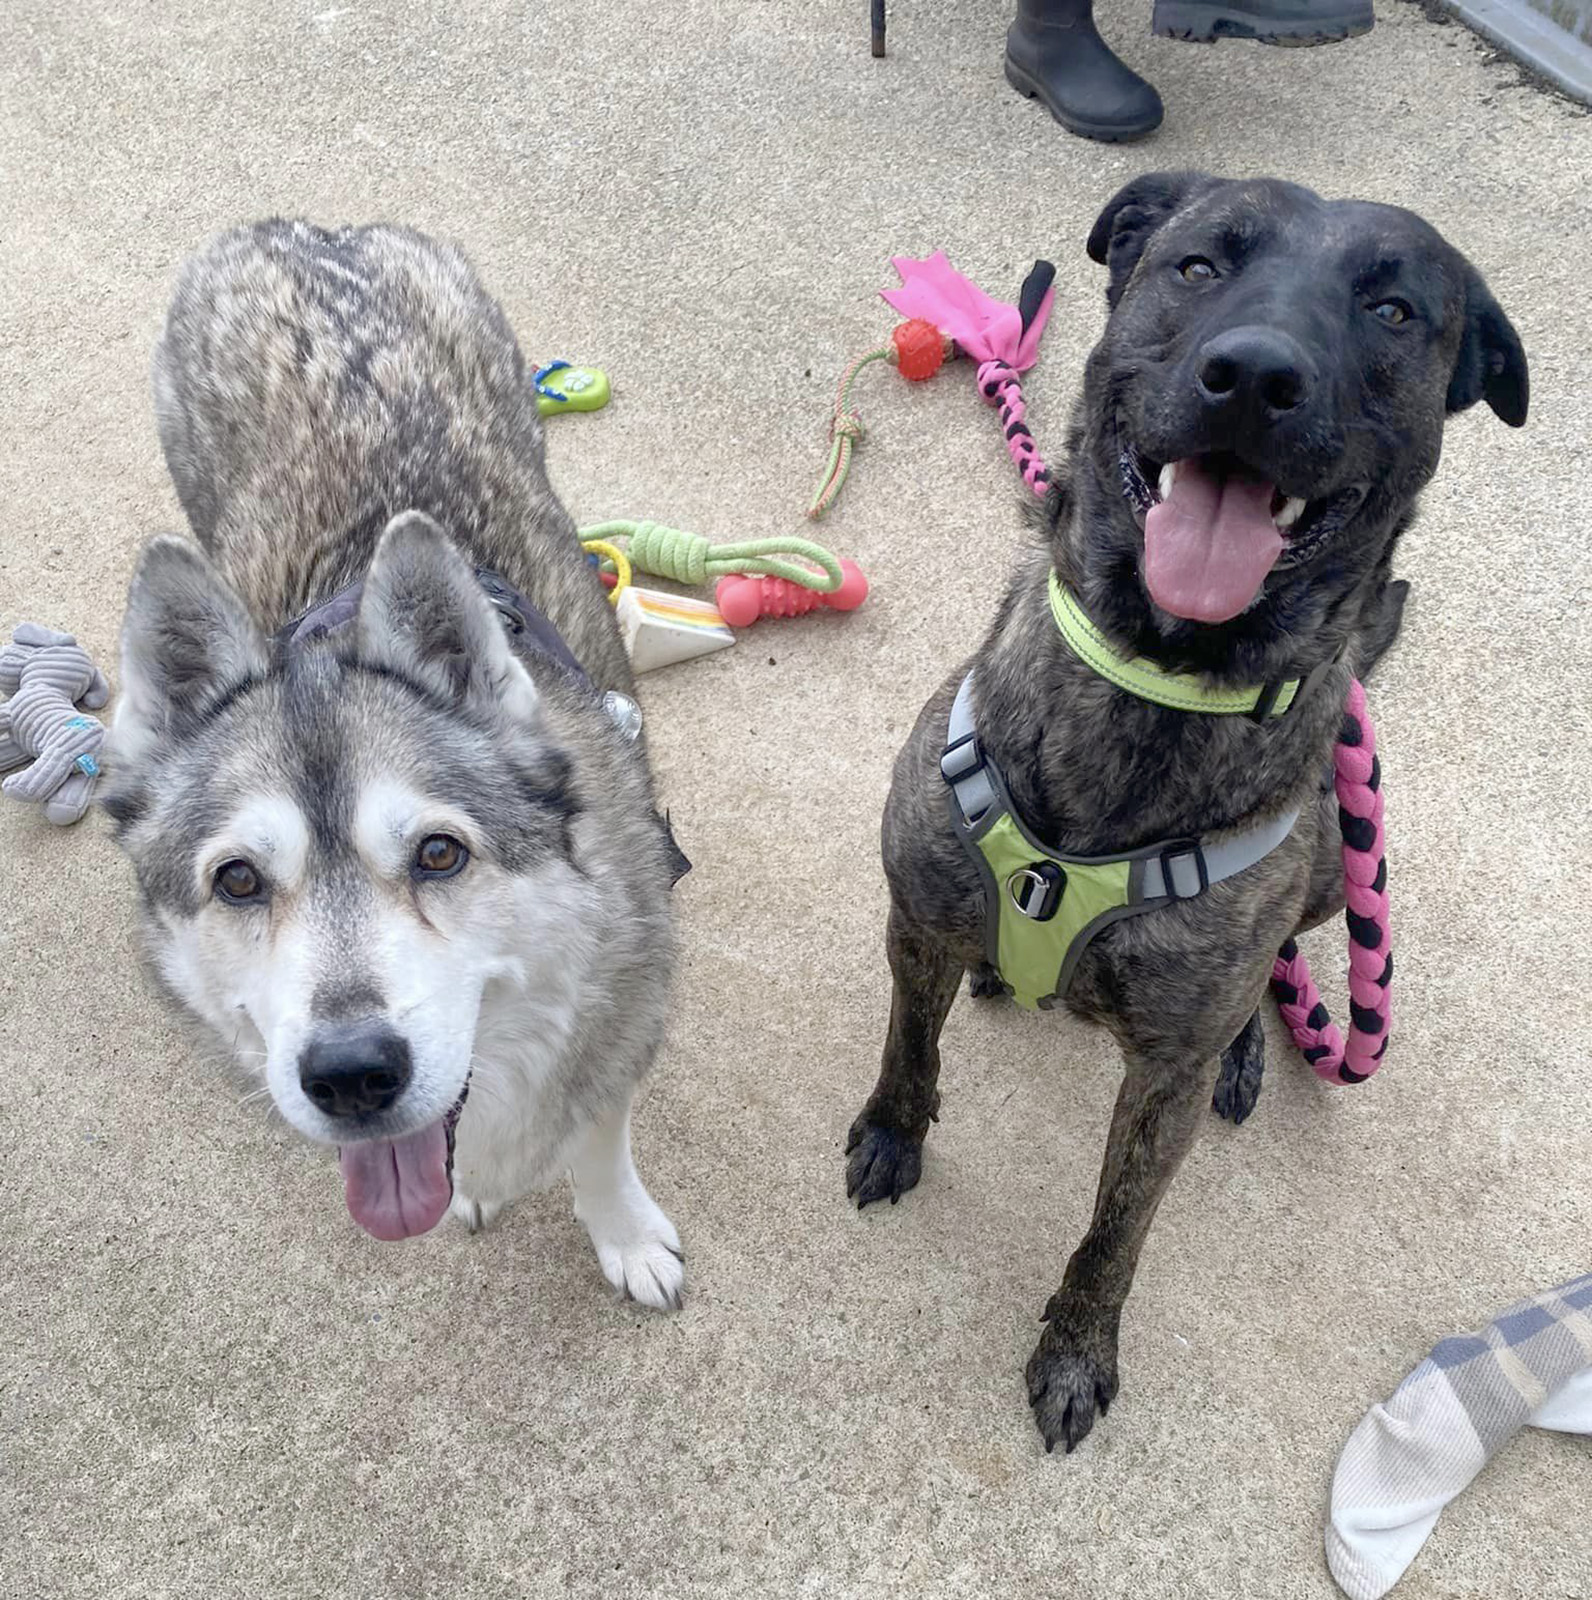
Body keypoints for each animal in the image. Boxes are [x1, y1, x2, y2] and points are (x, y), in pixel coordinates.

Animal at [104, 219, 691, 1305]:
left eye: (439, 854)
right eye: (238, 880)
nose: (351, 1074)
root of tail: (295, 226)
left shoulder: (628, 1010)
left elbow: (599, 1137)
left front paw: (624, 1233)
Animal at [844, 172, 1529, 1452]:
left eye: (1393, 310)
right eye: (1199, 264)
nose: (1254, 376)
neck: (1153, 685)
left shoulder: (1156, 1078)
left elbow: (1117, 1227)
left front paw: (1075, 1349)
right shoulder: (915, 920)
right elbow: (909, 1045)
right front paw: (891, 1133)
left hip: (1330, 866)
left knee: (1275, 971)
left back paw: (1249, 1047)